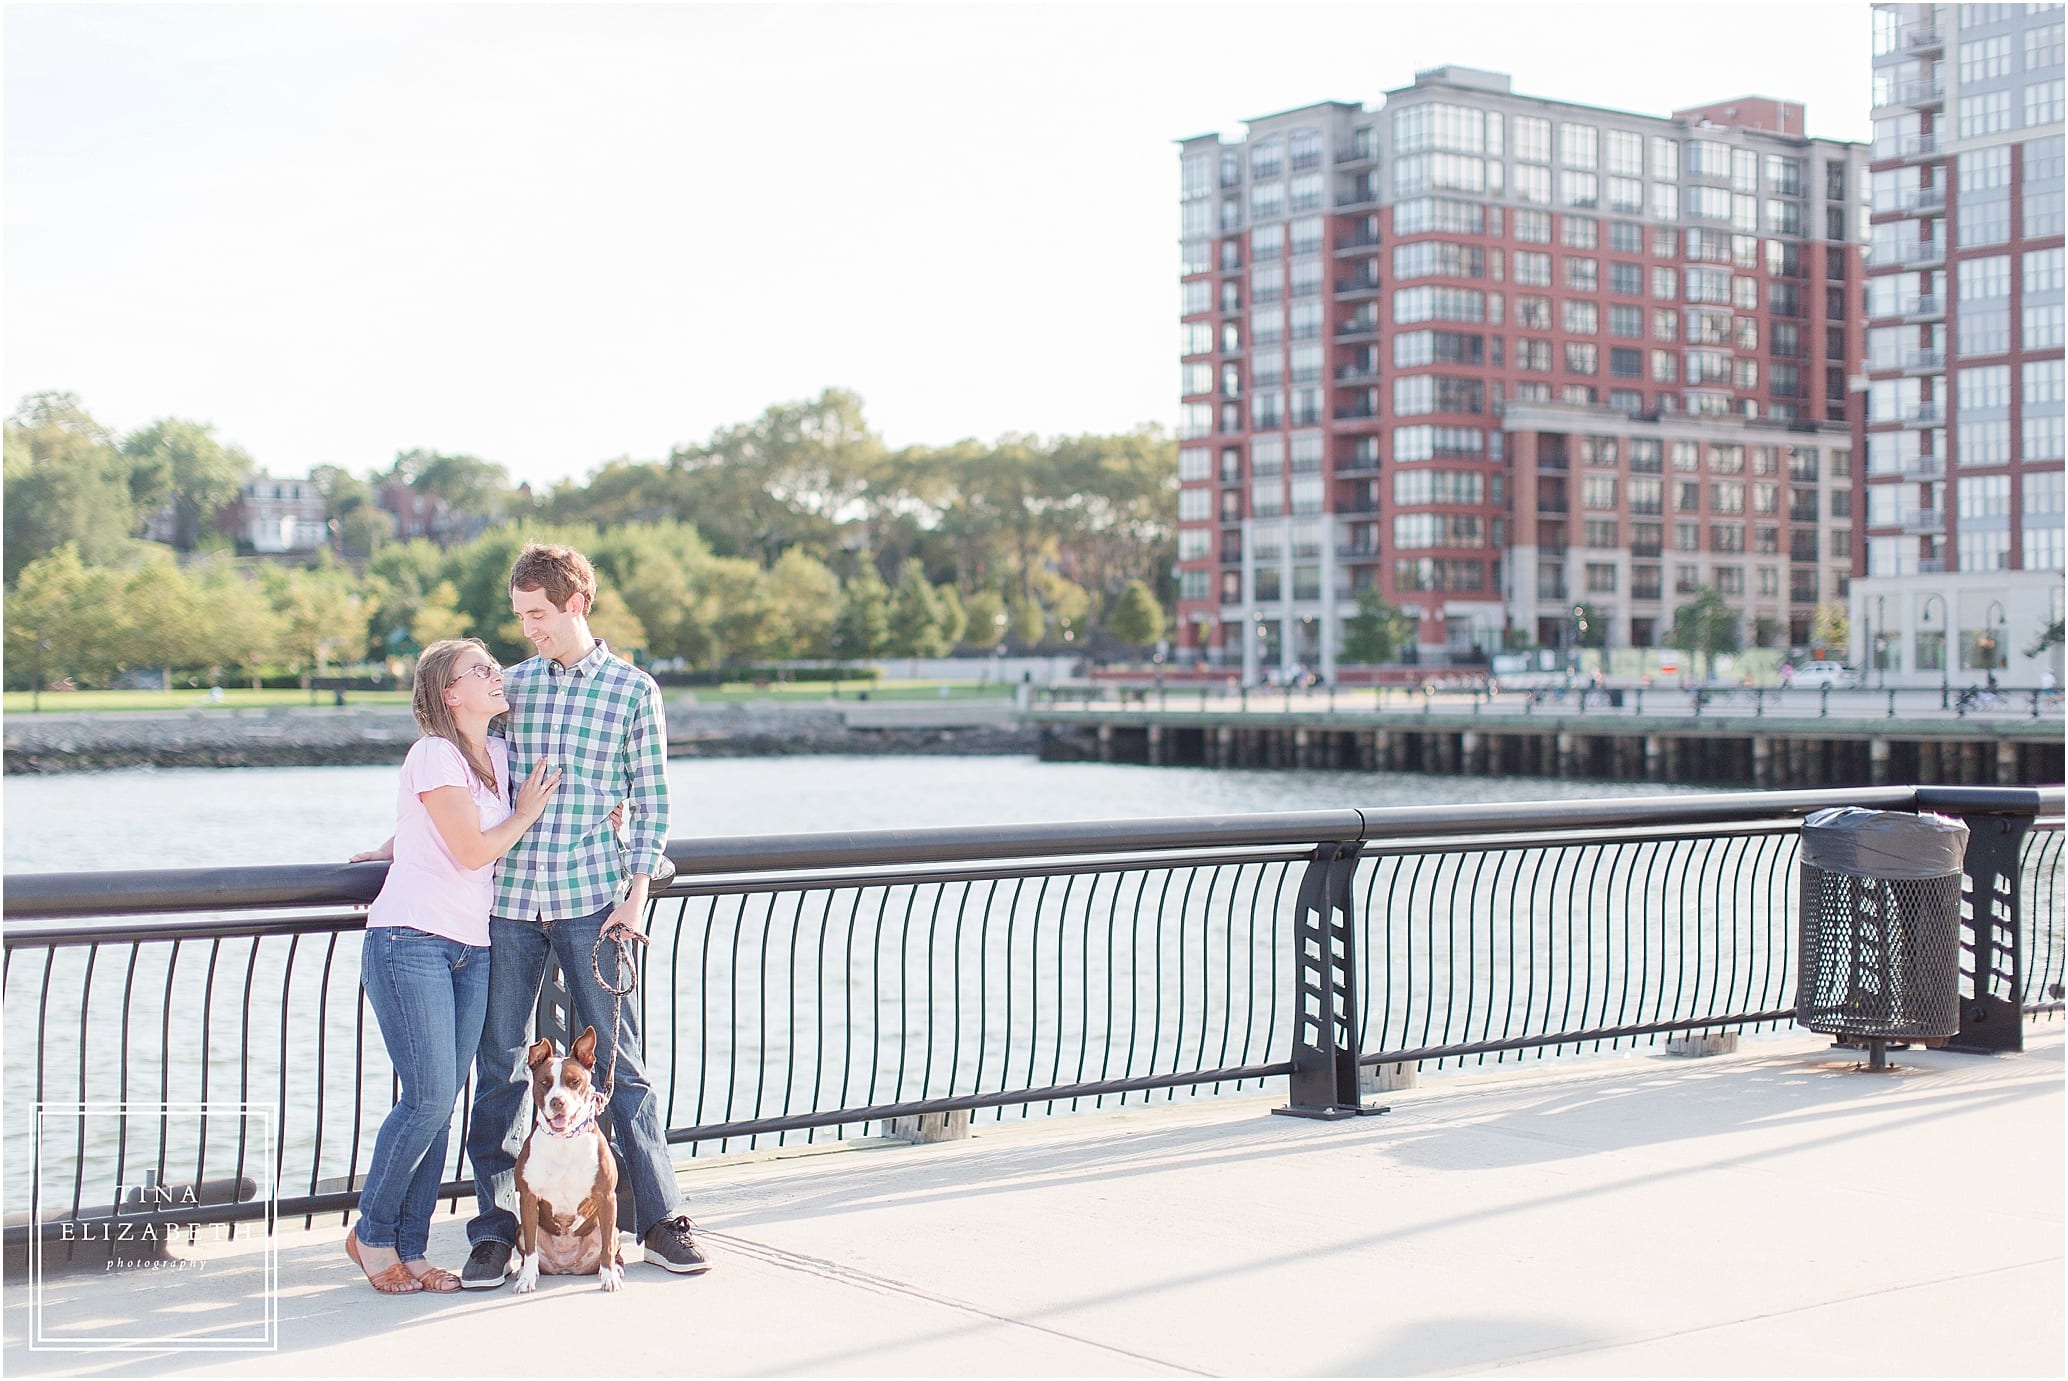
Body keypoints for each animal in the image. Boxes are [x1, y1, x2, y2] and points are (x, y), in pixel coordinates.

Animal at [510, 1025, 620, 1298]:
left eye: (574, 1082)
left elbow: (607, 1250)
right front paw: (526, 1279)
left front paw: (610, 1277)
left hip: (611, 1229)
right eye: (544, 1083)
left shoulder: (606, 1197)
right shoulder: (528, 1197)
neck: (564, 1140)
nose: (557, 1101)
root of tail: (566, 1267)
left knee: (609, 1247)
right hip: (519, 1230)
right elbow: (530, 1249)